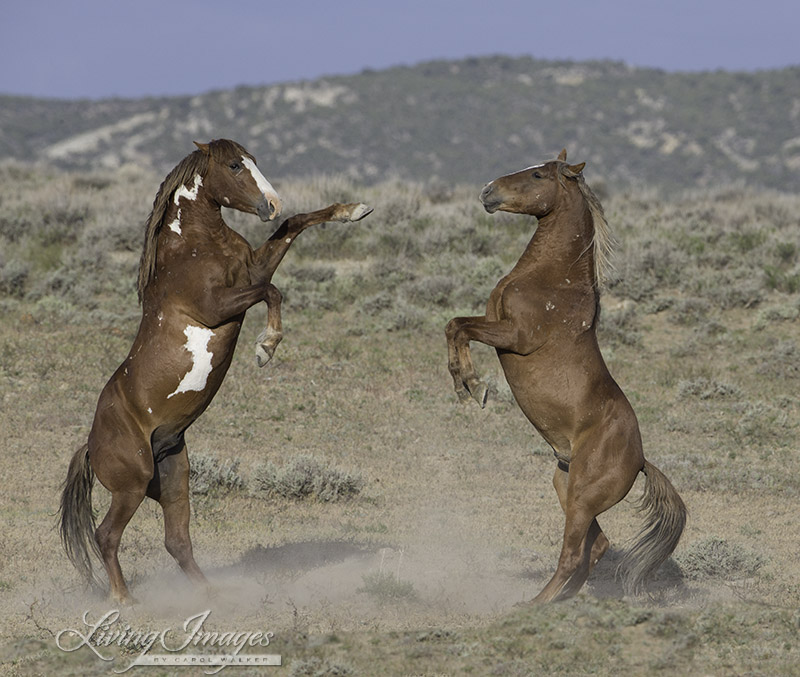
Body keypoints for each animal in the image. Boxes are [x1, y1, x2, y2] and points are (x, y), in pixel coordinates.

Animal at [59, 139, 372, 604]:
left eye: (254, 161)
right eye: (234, 165)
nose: (271, 204)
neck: (195, 245)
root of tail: (91, 445)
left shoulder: (253, 269)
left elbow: (293, 229)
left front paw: (354, 209)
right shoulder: (217, 305)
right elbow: (272, 291)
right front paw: (266, 347)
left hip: (174, 478)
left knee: (177, 541)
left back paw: (213, 594)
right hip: (132, 485)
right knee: (107, 535)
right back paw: (124, 599)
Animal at [444, 149, 688, 604]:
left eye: (538, 175)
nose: (488, 191)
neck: (552, 278)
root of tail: (640, 461)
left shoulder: (514, 336)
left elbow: (458, 327)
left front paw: (473, 387)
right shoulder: (494, 323)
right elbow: (454, 325)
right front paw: (466, 386)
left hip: (581, 499)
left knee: (575, 553)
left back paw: (535, 604)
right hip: (566, 486)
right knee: (598, 546)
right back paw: (561, 600)